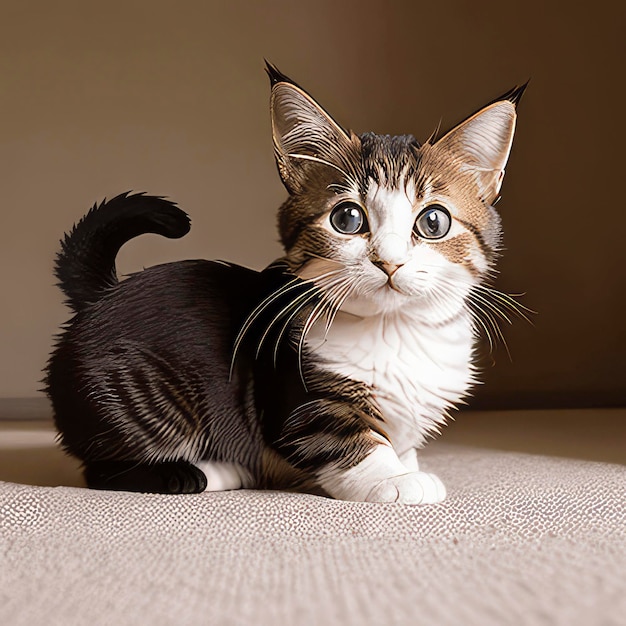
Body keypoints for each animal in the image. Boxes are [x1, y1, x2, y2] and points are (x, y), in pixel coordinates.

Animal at [44, 63, 524, 502]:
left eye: (433, 222)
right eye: (347, 218)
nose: (389, 262)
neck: (393, 330)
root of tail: (102, 293)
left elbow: (401, 439)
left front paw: (408, 464)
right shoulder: (296, 395)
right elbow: (346, 439)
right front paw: (394, 478)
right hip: (135, 393)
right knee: (101, 468)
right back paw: (204, 470)